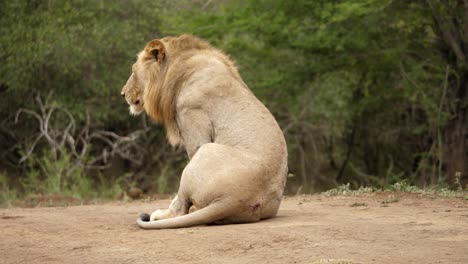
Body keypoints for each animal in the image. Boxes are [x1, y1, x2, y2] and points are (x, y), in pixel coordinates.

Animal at [120, 34, 288, 229]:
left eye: (133, 71)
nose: (122, 93)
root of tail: (235, 199)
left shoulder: (192, 116)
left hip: (206, 151)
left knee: (180, 207)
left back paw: (162, 214)